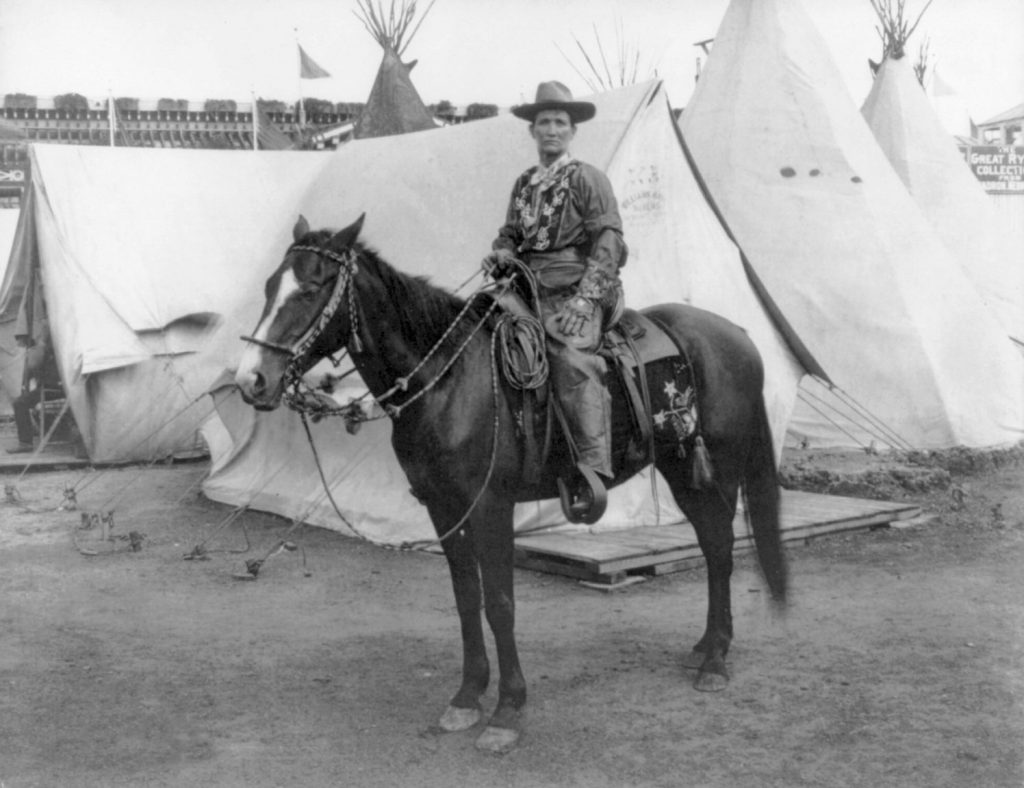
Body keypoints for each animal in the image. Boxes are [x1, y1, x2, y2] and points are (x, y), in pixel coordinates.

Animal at [235, 211, 786, 753]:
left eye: (311, 288)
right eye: (268, 286)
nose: (251, 381)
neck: (448, 377)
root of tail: (738, 335)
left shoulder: (490, 507)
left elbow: (500, 605)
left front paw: (507, 710)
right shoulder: (443, 508)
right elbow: (466, 599)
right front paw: (466, 696)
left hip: (717, 471)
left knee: (720, 548)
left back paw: (715, 661)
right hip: (680, 469)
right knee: (712, 546)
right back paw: (705, 647)